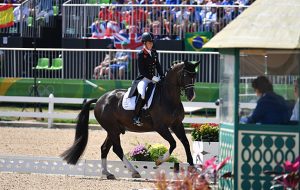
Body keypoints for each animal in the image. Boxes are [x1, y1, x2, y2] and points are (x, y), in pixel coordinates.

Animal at [60, 60, 200, 179]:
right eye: (185, 74)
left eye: (195, 75)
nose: (191, 96)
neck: (168, 97)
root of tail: (100, 99)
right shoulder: (161, 127)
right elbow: (173, 143)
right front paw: (159, 161)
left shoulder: (177, 124)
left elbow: (185, 143)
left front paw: (193, 167)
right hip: (112, 129)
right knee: (117, 149)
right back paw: (134, 171)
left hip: (113, 130)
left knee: (105, 148)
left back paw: (107, 173)